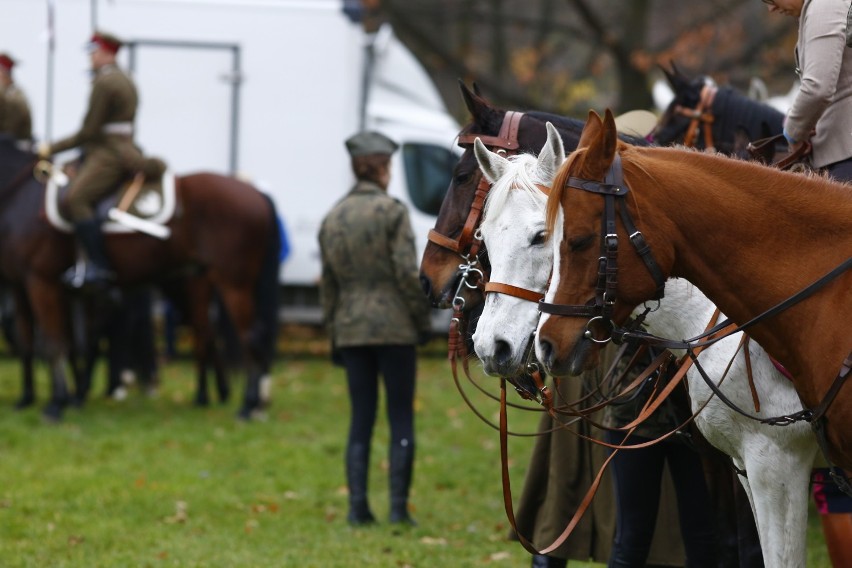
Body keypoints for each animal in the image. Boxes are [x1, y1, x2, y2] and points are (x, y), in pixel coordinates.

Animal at [0, 136, 280, 422]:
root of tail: (255, 192)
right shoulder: (22, 285)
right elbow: (31, 342)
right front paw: (30, 398)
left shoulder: (42, 281)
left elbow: (57, 344)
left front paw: (57, 404)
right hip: (198, 281)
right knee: (206, 334)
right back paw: (210, 398)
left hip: (232, 282)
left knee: (249, 335)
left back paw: (247, 405)